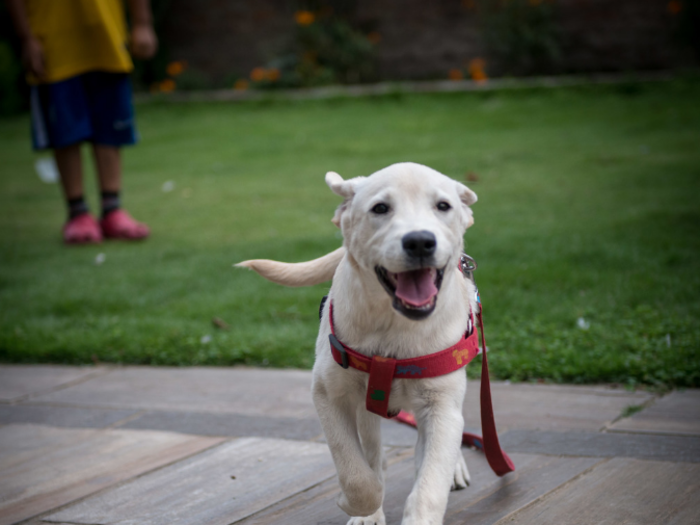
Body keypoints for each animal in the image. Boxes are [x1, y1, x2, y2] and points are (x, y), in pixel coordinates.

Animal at [238, 162, 478, 520]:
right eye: (380, 208)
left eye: (443, 206)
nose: (420, 242)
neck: (394, 326)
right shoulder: (329, 395)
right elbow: (357, 475)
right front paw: (358, 507)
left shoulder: (441, 404)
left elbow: (429, 486)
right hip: (367, 406)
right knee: (374, 452)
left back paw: (454, 468)